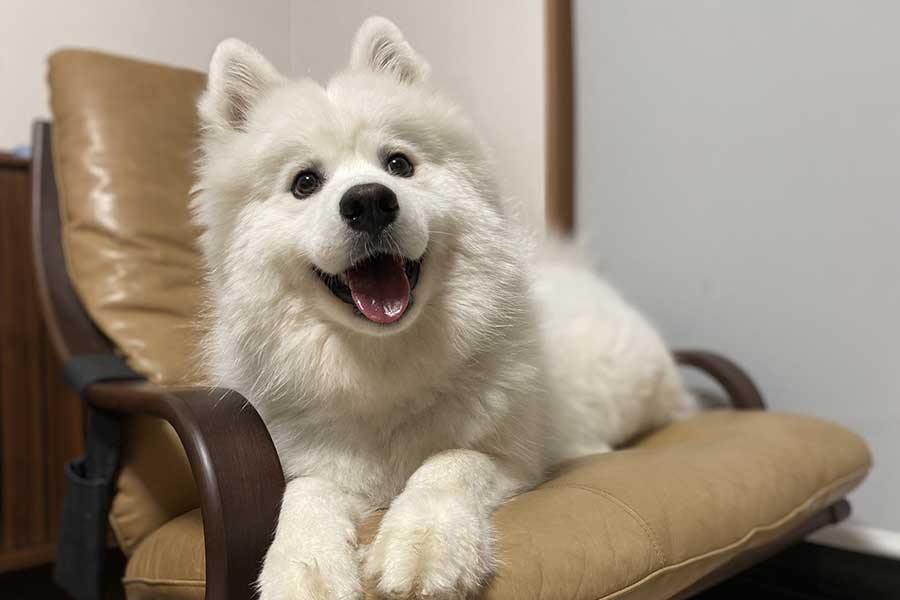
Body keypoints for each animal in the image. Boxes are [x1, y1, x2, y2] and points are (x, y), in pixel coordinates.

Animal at [192, 16, 696, 596]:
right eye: (305, 183)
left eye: (398, 164)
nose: (369, 200)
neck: (382, 365)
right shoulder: (320, 466)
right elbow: (304, 496)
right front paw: (303, 568)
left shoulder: (510, 457)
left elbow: (448, 463)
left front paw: (424, 544)